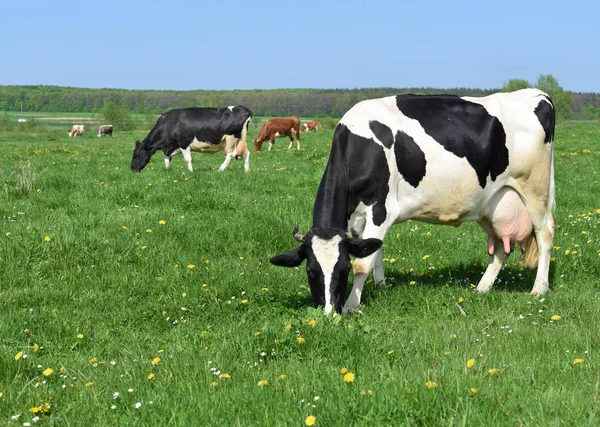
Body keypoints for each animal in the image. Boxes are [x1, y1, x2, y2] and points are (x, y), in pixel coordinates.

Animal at [270, 90, 556, 316]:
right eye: (311, 271)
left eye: (343, 270)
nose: (329, 313)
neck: (360, 145)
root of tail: (537, 94)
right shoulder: (360, 219)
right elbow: (374, 252)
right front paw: (381, 286)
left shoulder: (381, 208)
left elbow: (364, 262)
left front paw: (352, 305)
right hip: (492, 202)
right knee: (501, 247)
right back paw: (482, 288)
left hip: (535, 189)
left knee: (545, 232)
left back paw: (538, 289)